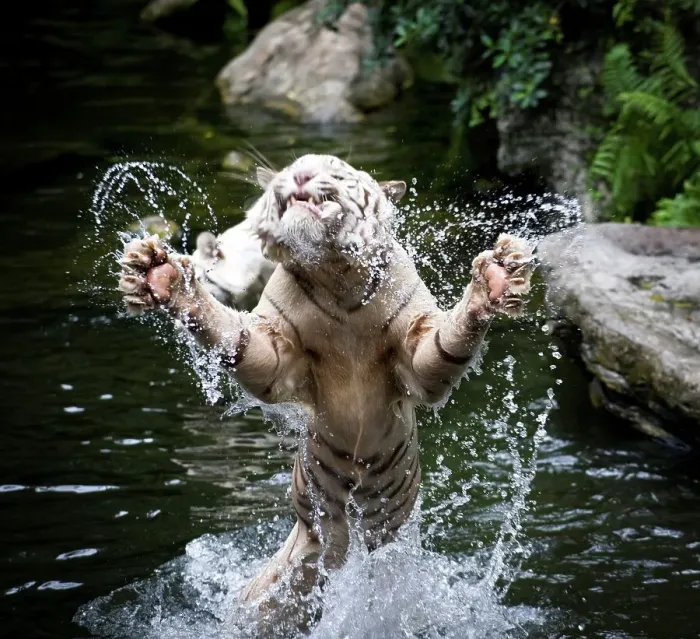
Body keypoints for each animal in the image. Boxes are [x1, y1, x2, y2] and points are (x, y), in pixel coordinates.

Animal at [117, 153, 534, 620]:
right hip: (305, 542)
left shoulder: (416, 344)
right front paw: (160, 275)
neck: (338, 276)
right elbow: (237, 339)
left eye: (334, 171)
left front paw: (497, 277)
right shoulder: (274, 350)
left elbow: (442, 346)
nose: (299, 176)